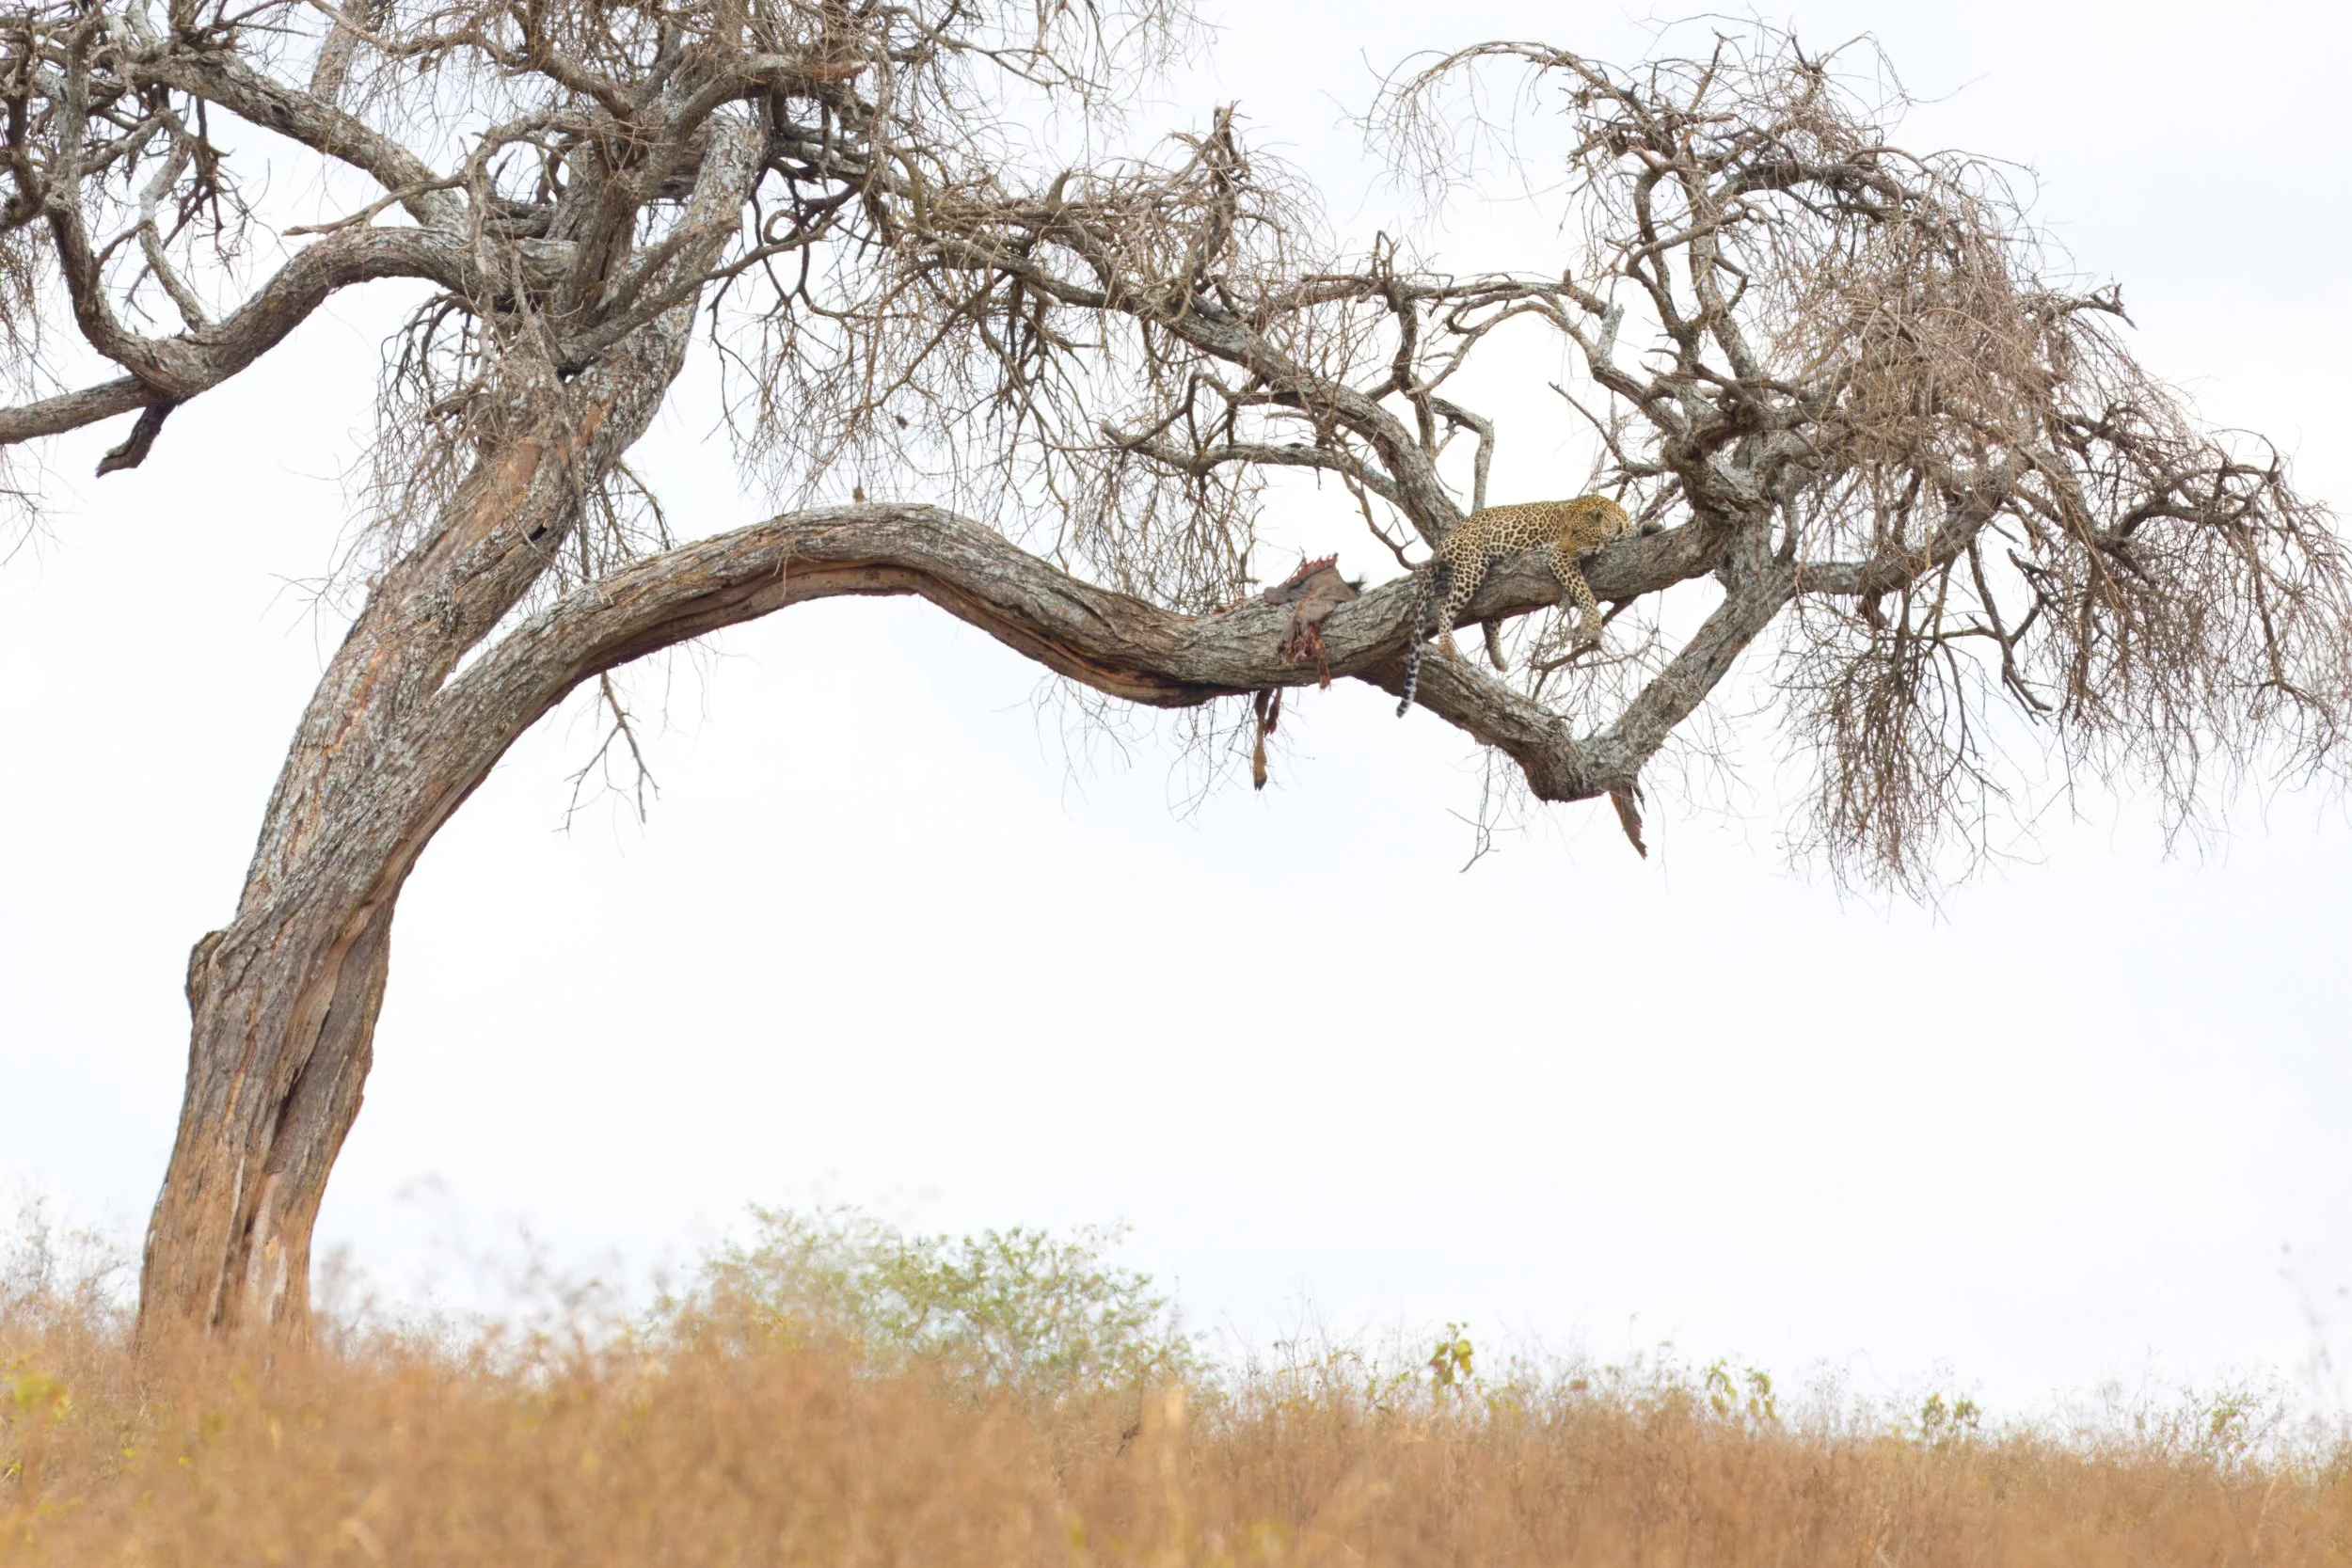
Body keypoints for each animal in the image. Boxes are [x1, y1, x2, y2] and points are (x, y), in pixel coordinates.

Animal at [1395, 494, 1638, 717]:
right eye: (1564, 532)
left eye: (1576, 533)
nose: (1562, 547)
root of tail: (1446, 538)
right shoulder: (1559, 559)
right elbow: (1584, 592)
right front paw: (1594, 625)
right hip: (1473, 565)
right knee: (1446, 608)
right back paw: (1447, 647)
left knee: (1490, 619)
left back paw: (1498, 660)